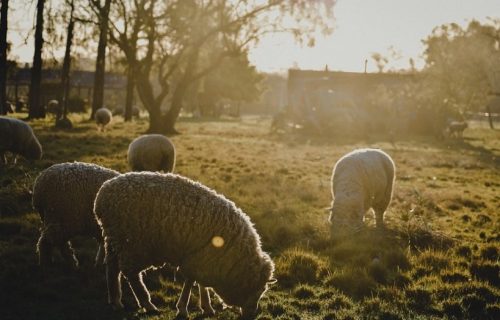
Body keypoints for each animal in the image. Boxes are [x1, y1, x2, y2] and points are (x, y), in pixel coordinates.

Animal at [93, 172, 274, 320]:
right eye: (257, 289)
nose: (252, 314)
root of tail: (102, 196)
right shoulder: (201, 257)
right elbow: (190, 282)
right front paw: (183, 309)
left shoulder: (203, 256)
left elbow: (200, 283)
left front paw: (206, 307)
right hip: (132, 243)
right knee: (130, 273)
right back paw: (148, 304)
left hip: (115, 239)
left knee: (112, 268)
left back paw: (116, 301)